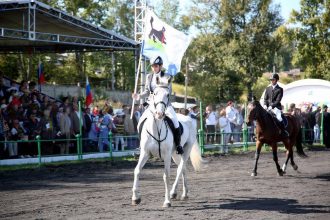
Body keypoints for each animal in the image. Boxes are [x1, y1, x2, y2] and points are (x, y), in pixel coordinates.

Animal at [131, 77, 204, 208]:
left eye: (168, 95)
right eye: (154, 93)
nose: (160, 114)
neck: (156, 130)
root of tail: (190, 117)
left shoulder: (166, 155)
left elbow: (166, 176)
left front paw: (167, 201)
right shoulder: (145, 153)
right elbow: (137, 171)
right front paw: (135, 198)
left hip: (186, 149)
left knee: (180, 168)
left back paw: (174, 193)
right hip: (175, 154)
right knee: (183, 168)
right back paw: (183, 194)